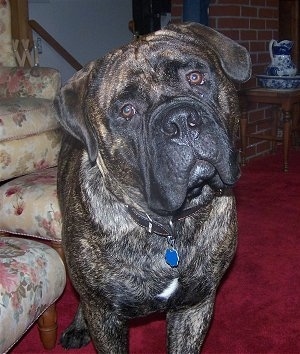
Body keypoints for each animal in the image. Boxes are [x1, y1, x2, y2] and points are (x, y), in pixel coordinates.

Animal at [54, 22, 251, 354]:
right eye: (127, 110)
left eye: (195, 77)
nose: (181, 121)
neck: (169, 225)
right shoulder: (105, 316)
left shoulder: (194, 306)